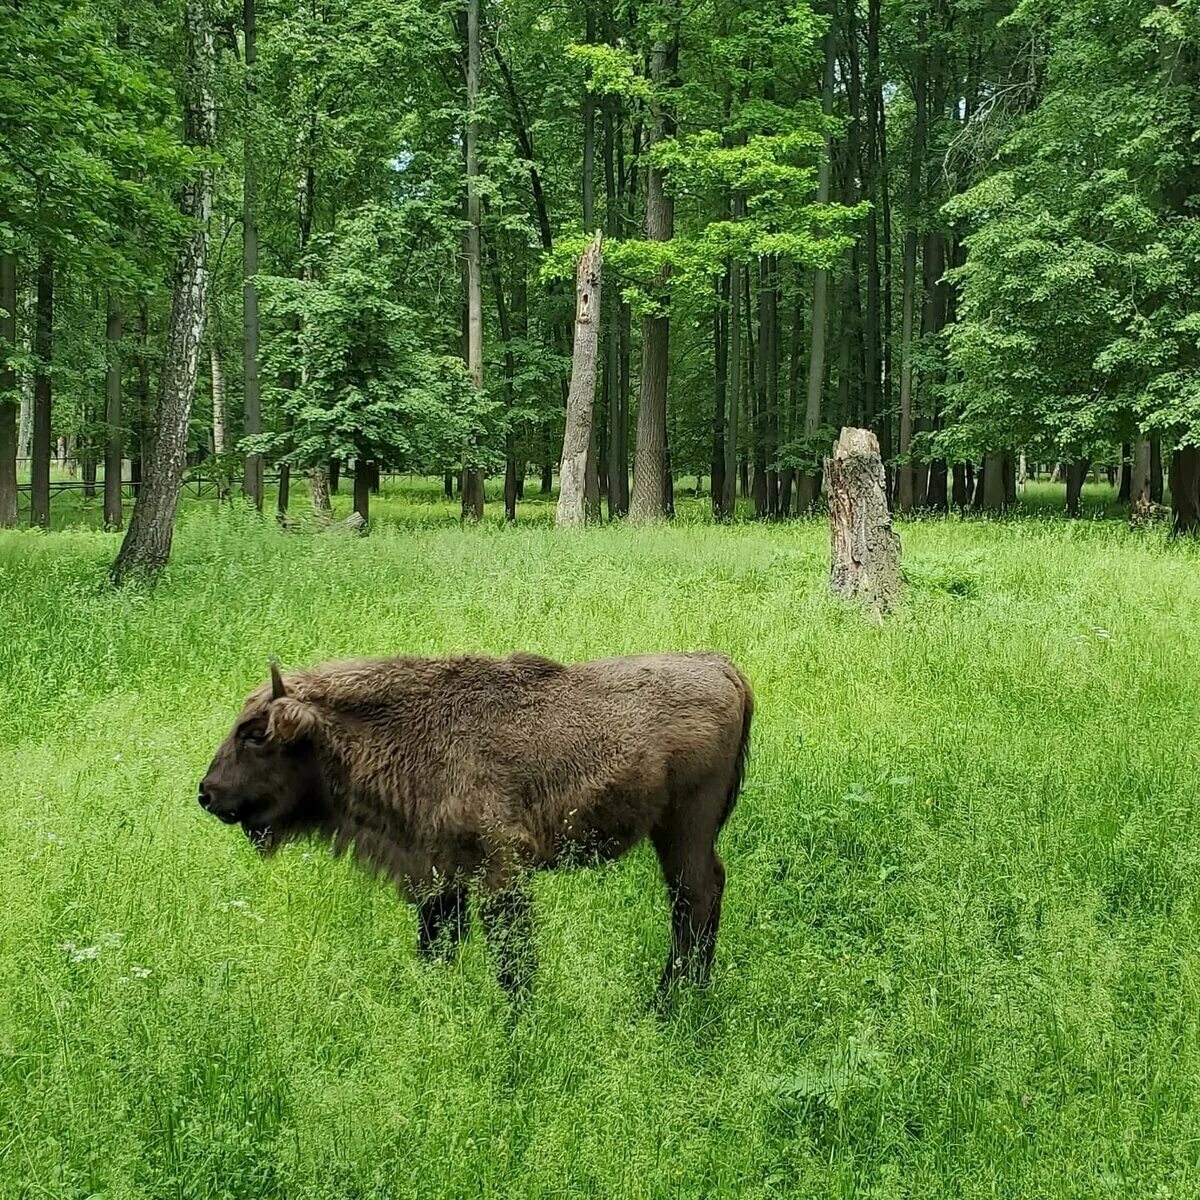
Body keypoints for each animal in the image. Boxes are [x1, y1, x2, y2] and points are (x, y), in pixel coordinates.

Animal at [201, 652, 753, 998]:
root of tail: (721, 666)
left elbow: (513, 964)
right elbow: (435, 949)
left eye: (255, 734)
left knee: (693, 898)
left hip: (684, 827)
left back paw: (669, 1002)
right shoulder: (438, 880)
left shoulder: (500, 874)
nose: (207, 794)